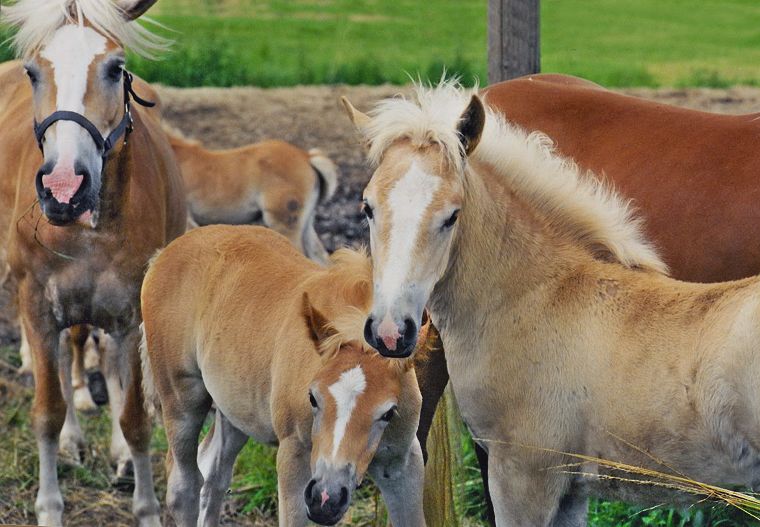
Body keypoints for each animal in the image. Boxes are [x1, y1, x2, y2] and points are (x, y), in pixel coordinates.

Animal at [0, 2, 188, 524]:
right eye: (32, 71)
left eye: (115, 68)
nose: (64, 187)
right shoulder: (39, 307)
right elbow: (47, 411)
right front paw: (49, 507)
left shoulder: (130, 315)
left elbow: (136, 418)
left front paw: (145, 506)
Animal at [141, 227, 428, 527]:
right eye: (312, 398)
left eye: (388, 413)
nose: (327, 498)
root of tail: (164, 253)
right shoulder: (294, 455)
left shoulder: (402, 464)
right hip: (181, 398)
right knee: (183, 486)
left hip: (236, 409)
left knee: (213, 473)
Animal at [342, 83, 760, 527]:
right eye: (367, 208)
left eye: (451, 215)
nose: (391, 331)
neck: (540, 296)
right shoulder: (570, 489)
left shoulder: (523, 474)